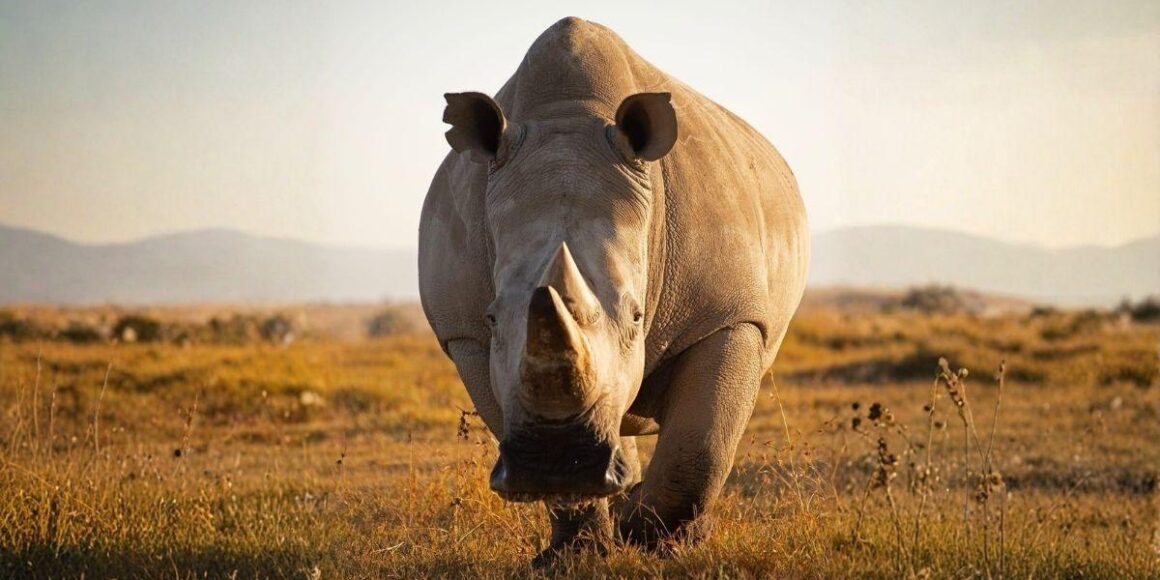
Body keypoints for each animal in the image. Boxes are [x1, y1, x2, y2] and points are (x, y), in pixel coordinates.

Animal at [418, 17, 808, 564]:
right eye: (492, 316)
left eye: (638, 316)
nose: (556, 460)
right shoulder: (464, 333)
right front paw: (576, 554)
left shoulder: (730, 315)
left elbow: (703, 445)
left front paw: (649, 539)